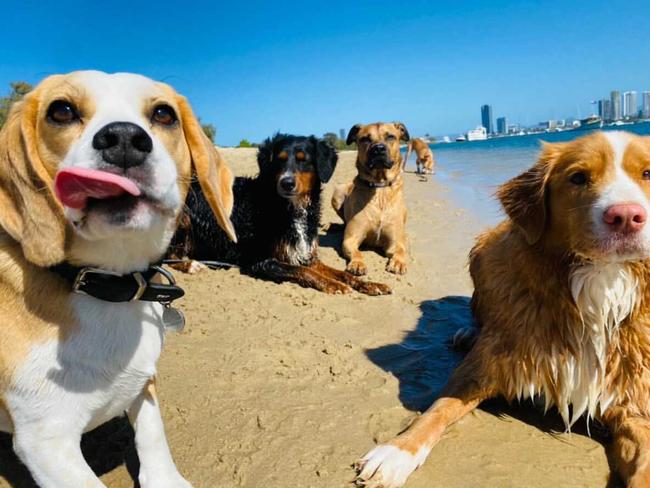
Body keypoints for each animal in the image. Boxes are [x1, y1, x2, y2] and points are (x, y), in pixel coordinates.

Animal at [0, 71, 233, 488]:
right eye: (61, 111)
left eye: (164, 114)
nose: (124, 138)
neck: (109, 286)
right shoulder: (46, 442)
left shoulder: (144, 381)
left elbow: (153, 436)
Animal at [168, 132, 390, 296]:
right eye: (280, 161)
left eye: (303, 161)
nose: (287, 182)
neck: (290, 208)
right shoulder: (260, 260)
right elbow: (303, 271)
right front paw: (333, 285)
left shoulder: (307, 255)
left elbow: (341, 273)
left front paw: (370, 284)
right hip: (182, 217)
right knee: (168, 256)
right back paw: (191, 264)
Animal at [332, 121, 408, 274]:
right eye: (365, 139)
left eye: (390, 136)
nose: (378, 149)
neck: (379, 188)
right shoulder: (351, 238)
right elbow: (356, 251)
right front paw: (357, 263)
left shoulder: (395, 240)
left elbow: (401, 250)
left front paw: (398, 262)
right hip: (338, 192)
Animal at [360, 131, 650, 488]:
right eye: (579, 177)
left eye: (648, 173)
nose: (626, 216)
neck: (598, 285)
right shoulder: (483, 366)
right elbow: (436, 410)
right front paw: (395, 452)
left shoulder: (630, 402)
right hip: (483, 251)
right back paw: (468, 332)